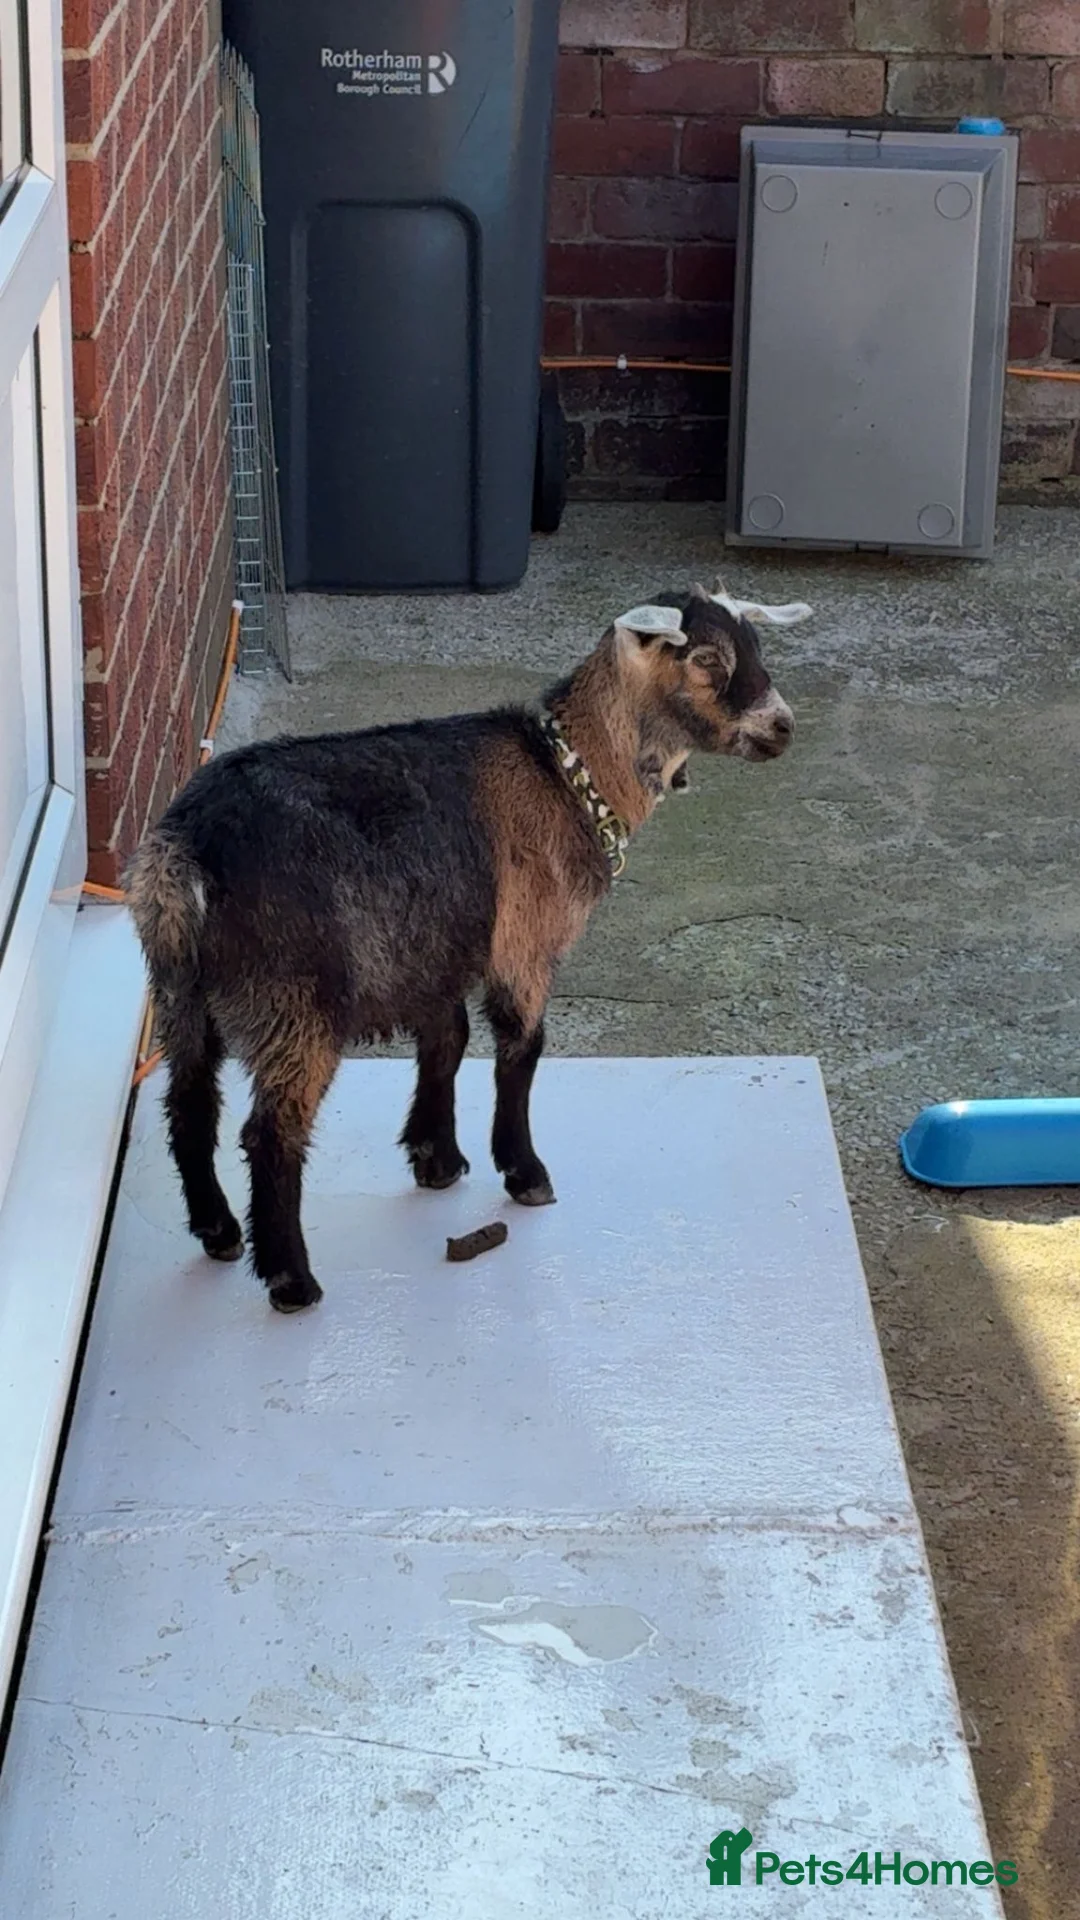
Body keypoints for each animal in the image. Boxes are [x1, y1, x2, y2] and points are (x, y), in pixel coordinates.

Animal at [126, 584, 794, 1312]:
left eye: (754, 646)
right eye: (706, 659)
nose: (783, 726)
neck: (566, 776)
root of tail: (189, 850)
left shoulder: (437, 947)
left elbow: (445, 1043)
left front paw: (435, 1158)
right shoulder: (523, 941)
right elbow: (520, 1050)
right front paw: (524, 1171)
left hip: (180, 991)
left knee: (189, 1104)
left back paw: (218, 1229)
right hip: (290, 995)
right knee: (271, 1132)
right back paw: (291, 1278)